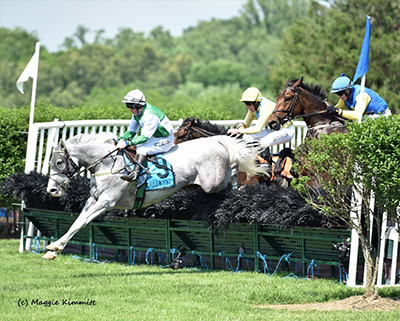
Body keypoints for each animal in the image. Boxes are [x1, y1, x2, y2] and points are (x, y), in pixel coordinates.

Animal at [43, 131, 262, 258]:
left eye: (59, 163)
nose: (51, 190)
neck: (107, 163)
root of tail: (215, 142)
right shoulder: (94, 199)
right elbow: (78, 221)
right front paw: (54, 247)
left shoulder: (107, 201)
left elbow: (84, 222)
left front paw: (55, 247)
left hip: (213, 183)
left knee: (232, 173)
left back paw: (241, 187)